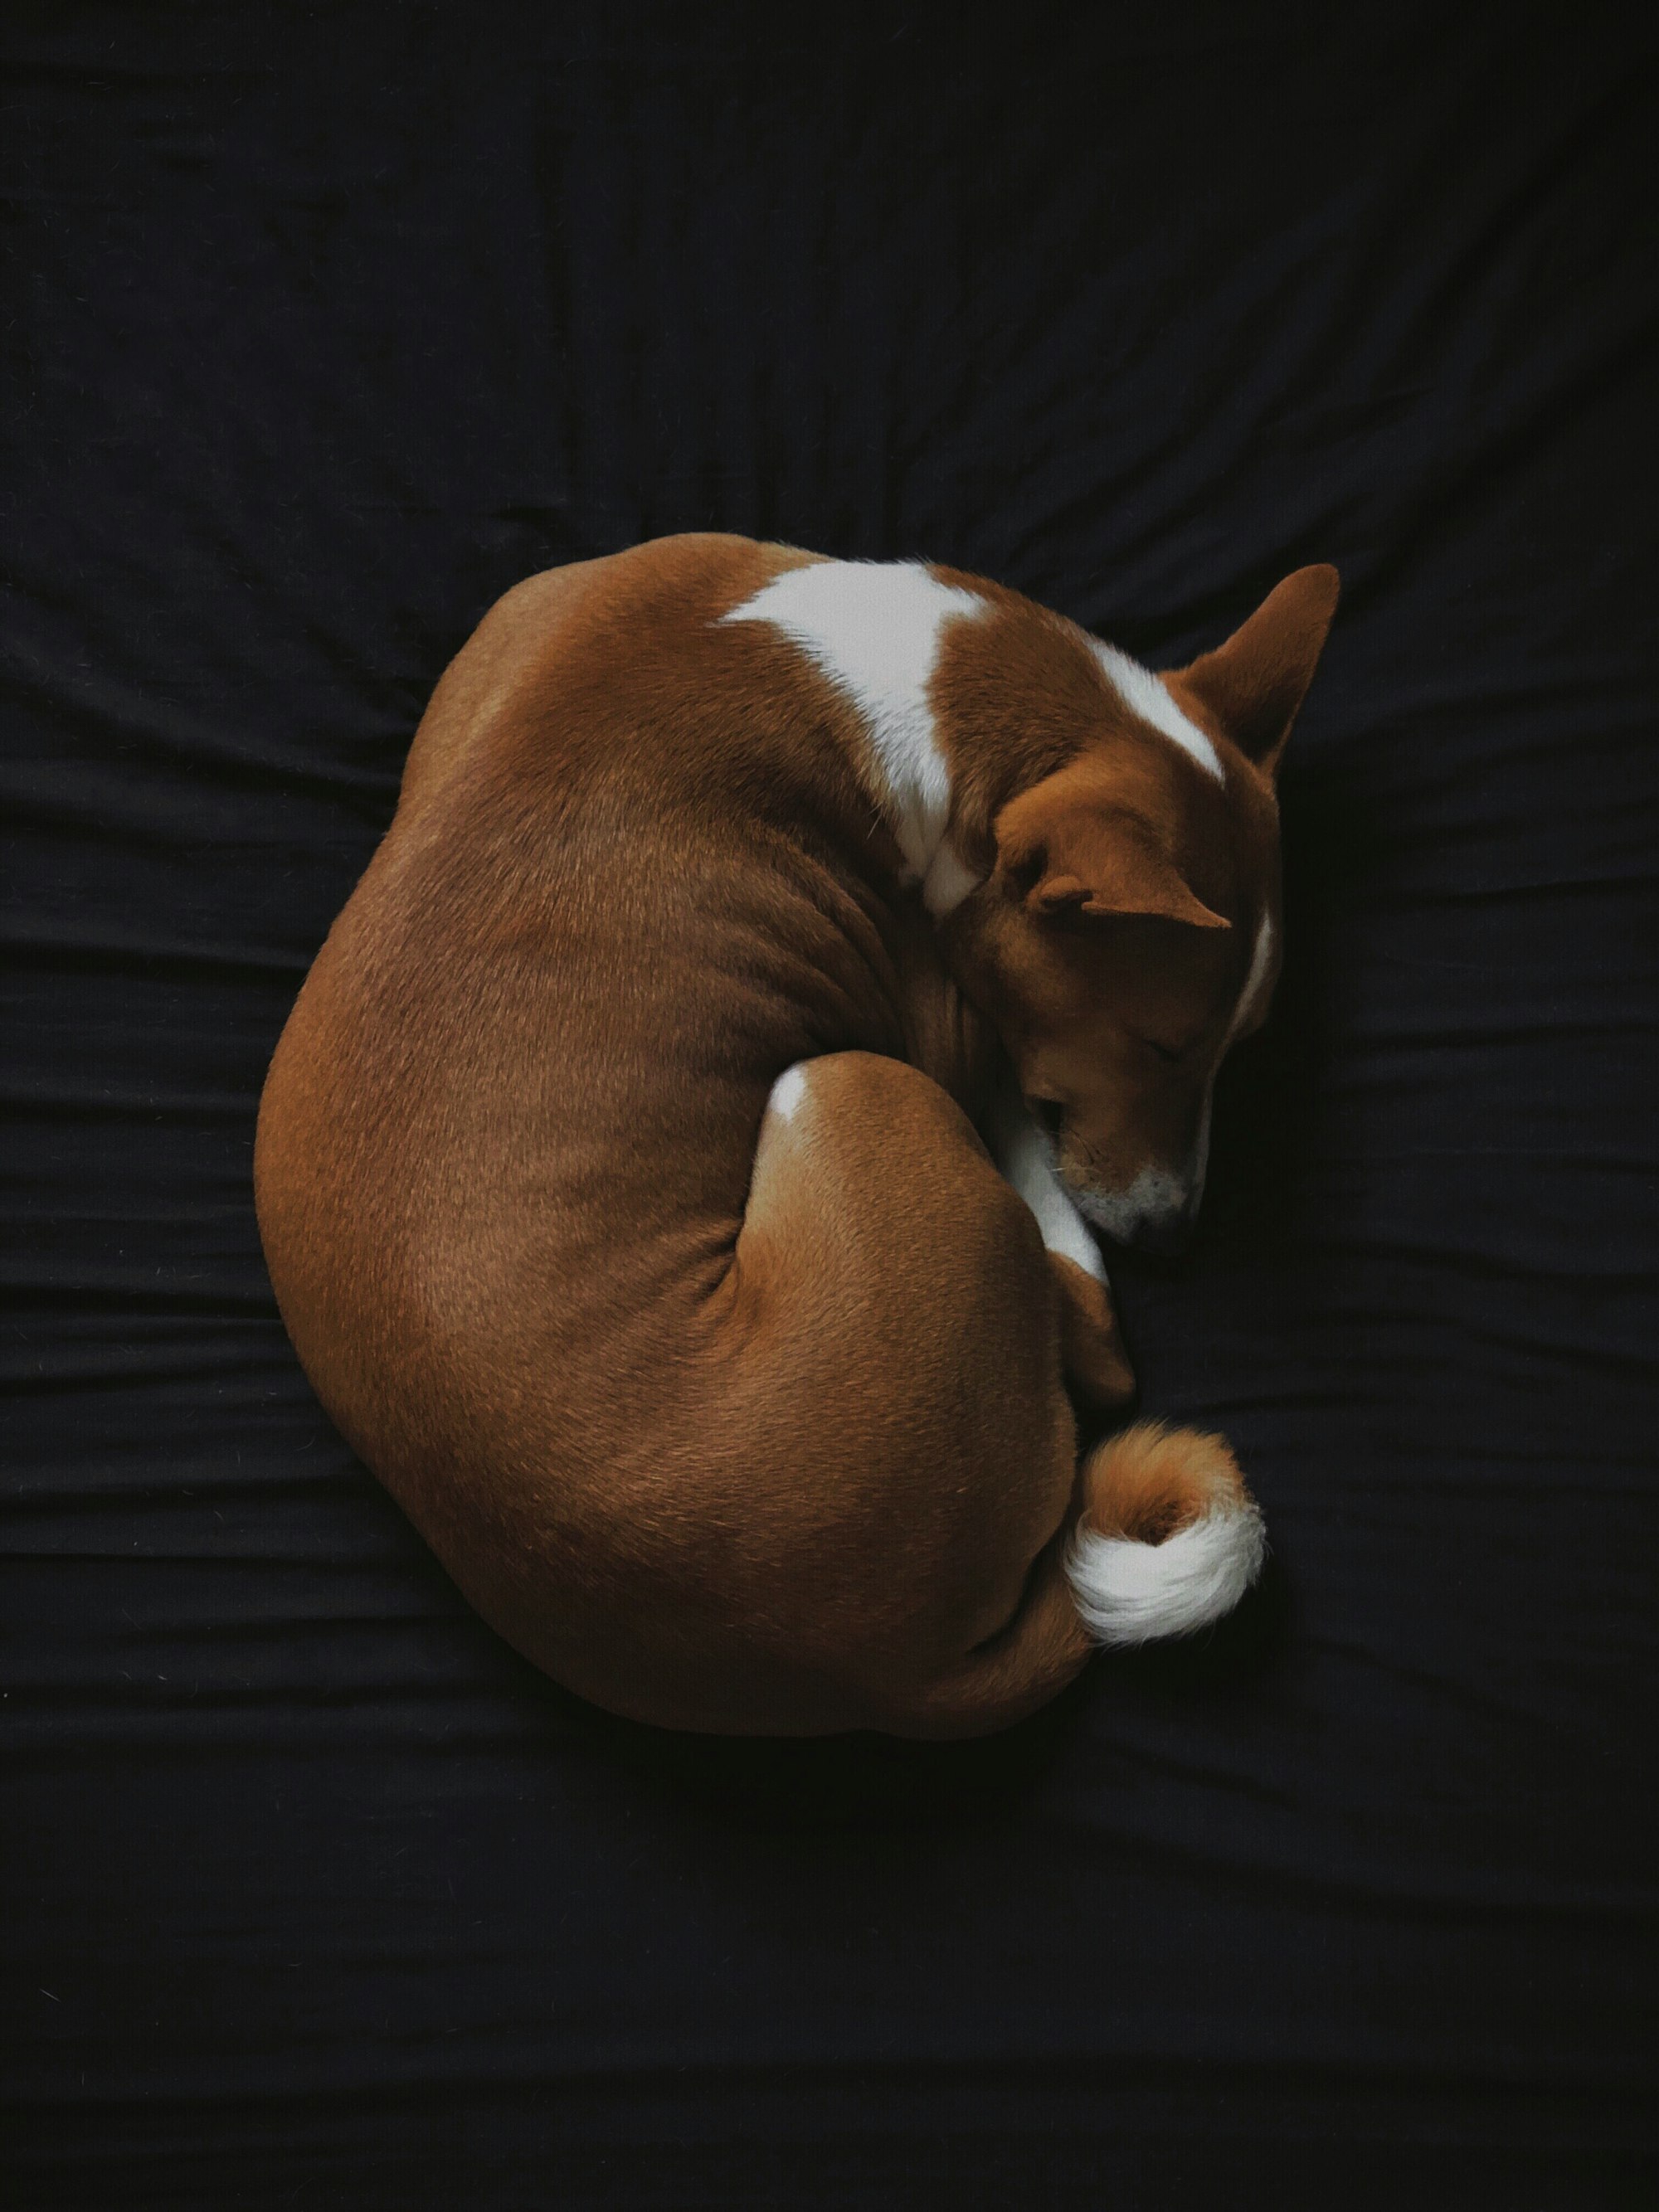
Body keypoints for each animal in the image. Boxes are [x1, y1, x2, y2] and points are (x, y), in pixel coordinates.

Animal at [256, 539, 1335, 1743]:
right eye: (1161, 1046)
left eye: (1242, 1045)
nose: (1175, 1233)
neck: (895, 671)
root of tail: (889, 1673)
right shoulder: (944, 1026)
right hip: (848, 1081)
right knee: (1098, 1349)